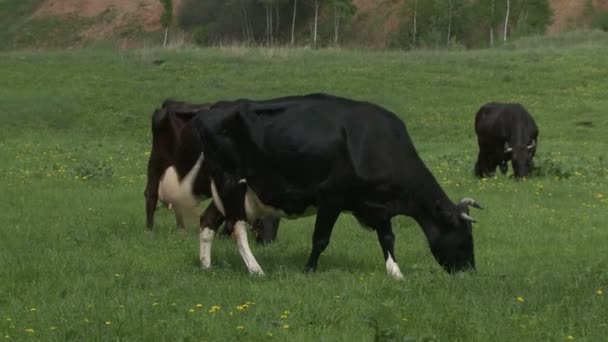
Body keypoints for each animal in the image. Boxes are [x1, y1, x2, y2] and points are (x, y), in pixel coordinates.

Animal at [144, 99, 280, 246]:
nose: (267, 242)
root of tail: (170, 104)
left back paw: (181, 230)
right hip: (157, 162)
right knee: (151, 195)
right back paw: (149, 230)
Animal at [192, 93, 482, 278]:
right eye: (466, 237)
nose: (469, 271)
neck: (375, 145)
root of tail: (213, 109)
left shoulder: (377, 205)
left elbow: (388, 238)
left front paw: (396, 273)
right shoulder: (330, 197)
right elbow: (321, 239)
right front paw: (309, 270)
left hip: (225, 191)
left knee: (208, 220)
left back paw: (206, 266)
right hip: (231, 183)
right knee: (236, 227)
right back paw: (256, 270)